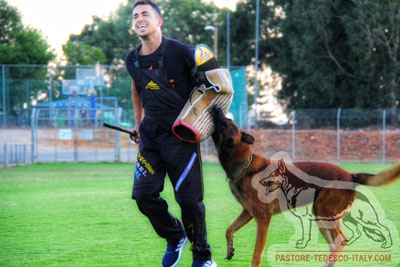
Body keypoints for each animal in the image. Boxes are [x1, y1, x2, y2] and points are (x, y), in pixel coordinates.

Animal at [209, 106, 400, 267]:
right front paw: (230, 250)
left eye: (224, 123)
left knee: (341, 240)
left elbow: (256, 255)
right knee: (337, 242)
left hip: (322, 211)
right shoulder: (248, 212)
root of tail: (350, 175)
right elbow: (229, 229)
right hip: (323, 217)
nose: (215, 107)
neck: (244, 164)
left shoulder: (262, 219)